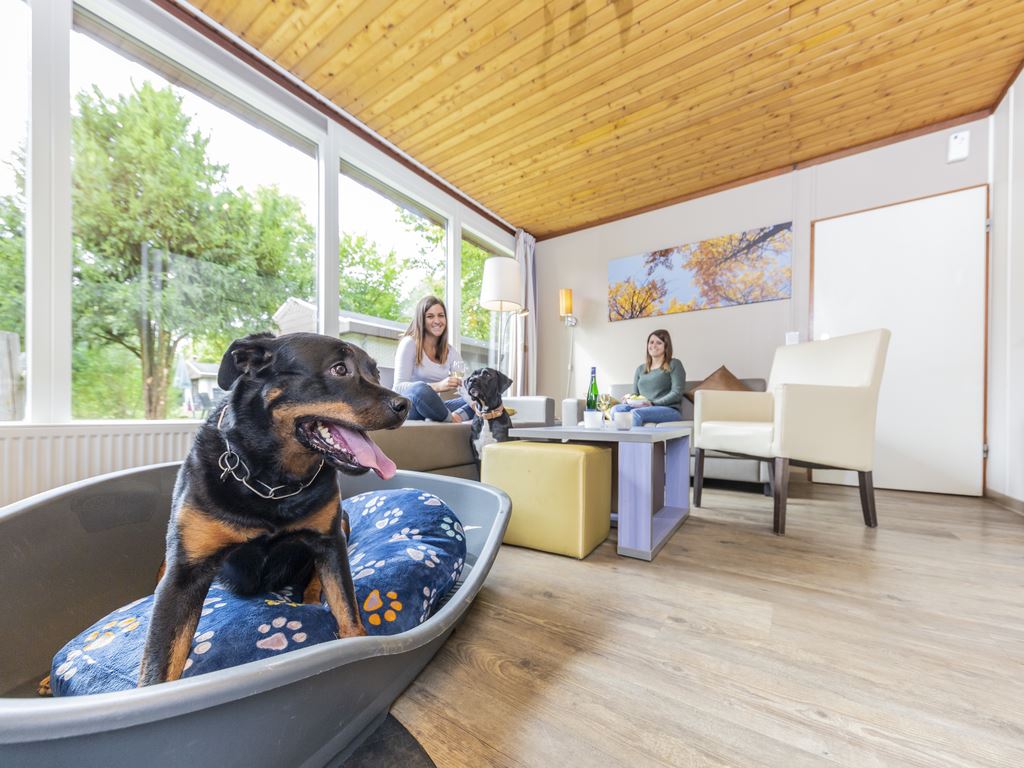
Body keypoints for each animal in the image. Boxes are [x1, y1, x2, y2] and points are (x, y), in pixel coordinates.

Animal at [137, 332, 408, 687]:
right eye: (339, 369)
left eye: (375, 373)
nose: (405, 405)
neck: (271, 482)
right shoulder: (185, 572)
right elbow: (159, 664)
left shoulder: (330, 540)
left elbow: (347, 608)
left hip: (343, 523)